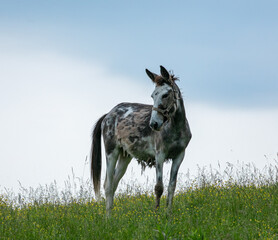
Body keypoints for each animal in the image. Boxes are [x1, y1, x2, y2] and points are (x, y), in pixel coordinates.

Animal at [91, 66, 191, 216]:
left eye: (165, 95)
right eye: (153, 95)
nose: (154, 124)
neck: (175, 128)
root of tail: (108, 114)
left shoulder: (179, 155)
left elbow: (171, 187)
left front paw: (168, 215)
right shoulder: (159, 155)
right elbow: (159, 187)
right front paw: (156, 215)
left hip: (125, 156)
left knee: (114, 183)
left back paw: (112, 216)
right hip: (111, 152)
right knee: (108, 185)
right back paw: (107, 218)